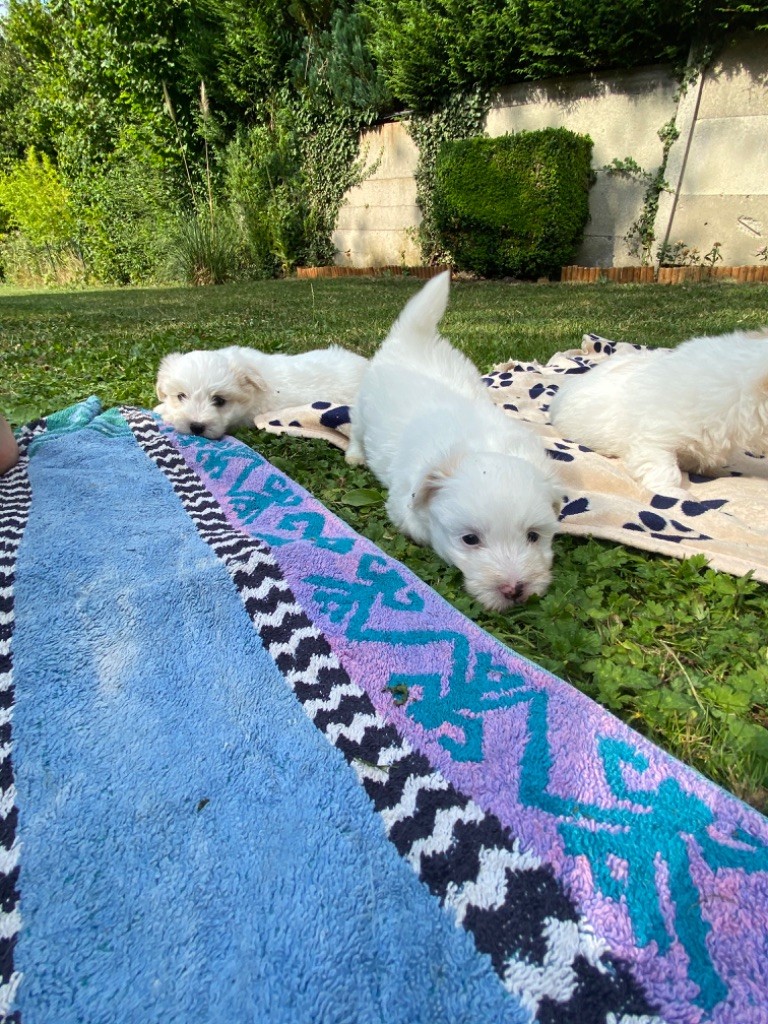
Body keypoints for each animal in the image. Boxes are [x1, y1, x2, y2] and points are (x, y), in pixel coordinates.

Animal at [346, 271, 562, 611]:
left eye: (533, 536)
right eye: (470, 539)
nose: (514, 590)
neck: (481, 447)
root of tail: (412, 336)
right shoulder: (403, 503)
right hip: (362, 407)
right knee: (355, 429)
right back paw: (355, 454)